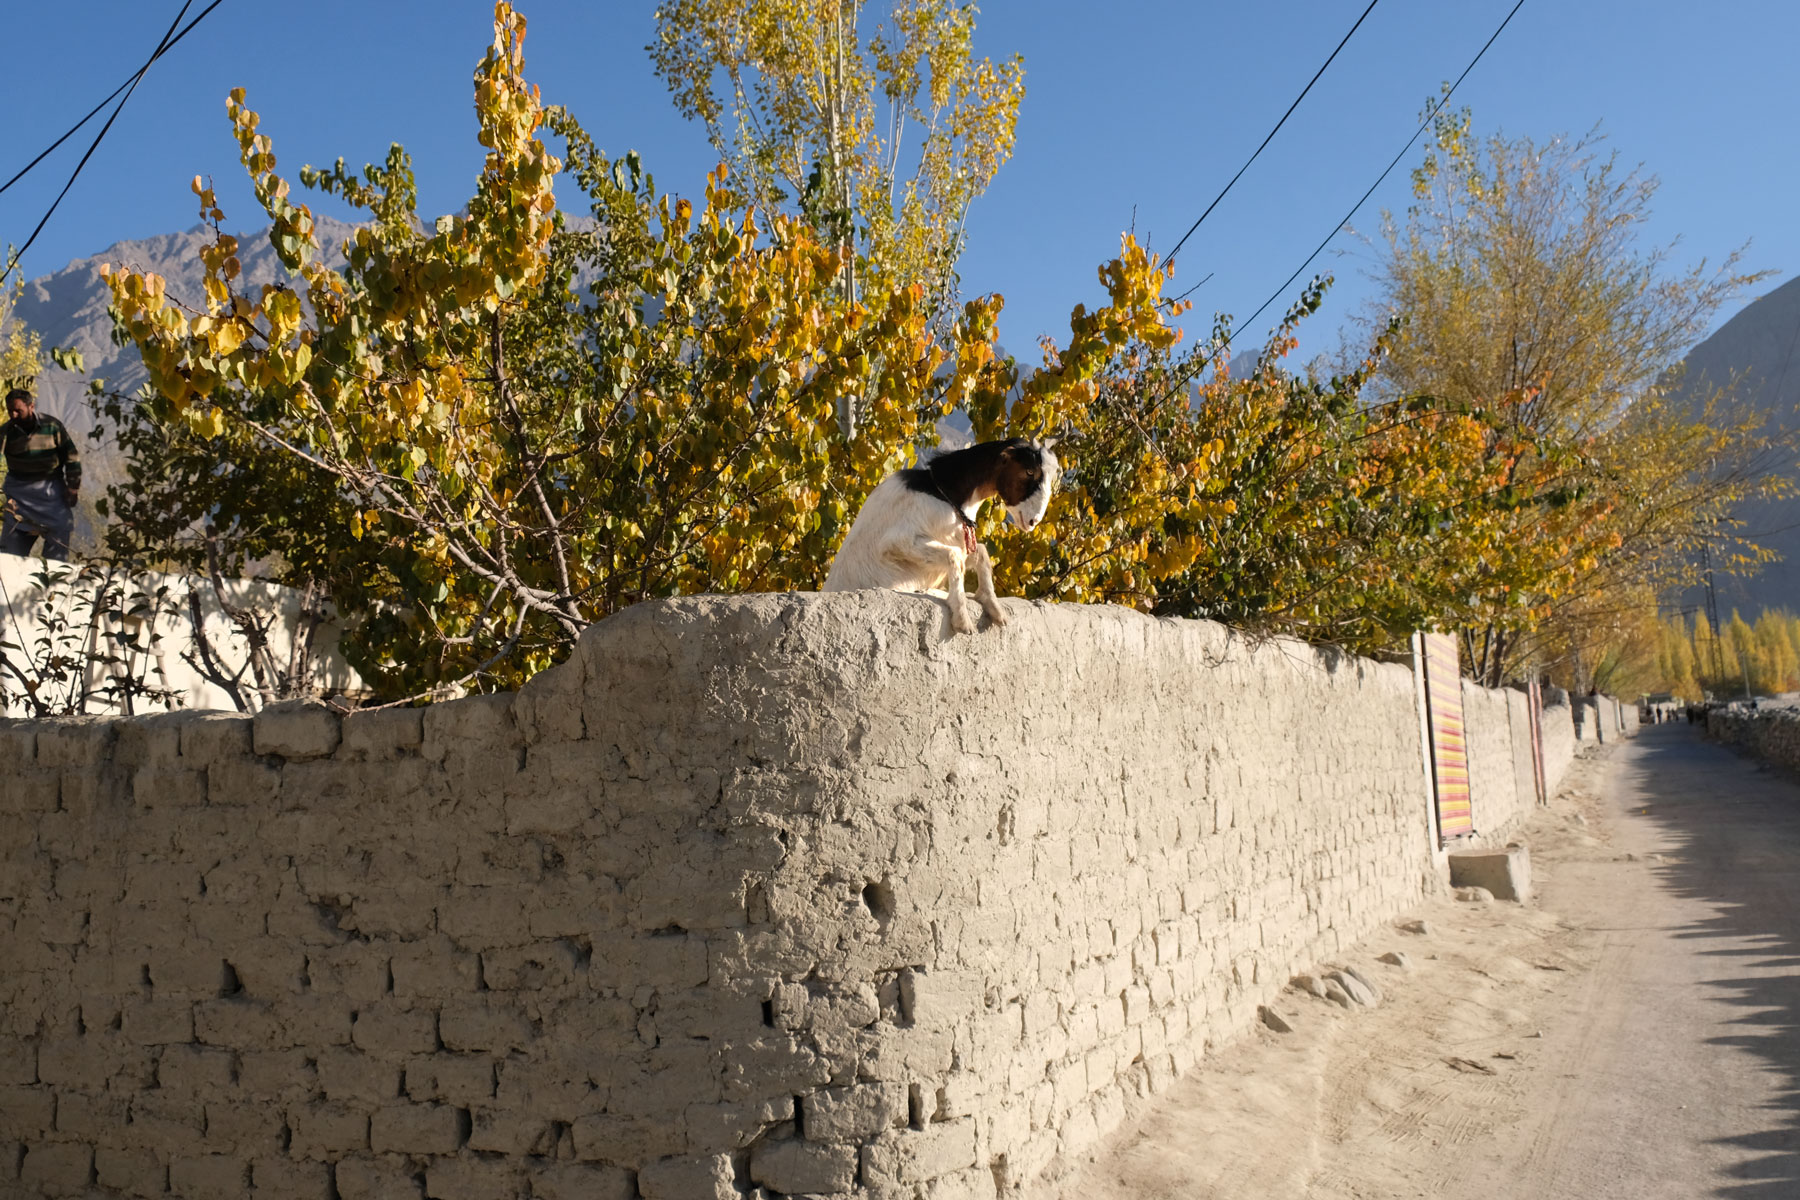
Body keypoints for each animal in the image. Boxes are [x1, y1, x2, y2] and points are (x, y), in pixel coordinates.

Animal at [824, 437, 1058, 633]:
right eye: (1029, 471)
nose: (1033, 521)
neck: (942, 492)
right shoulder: (898, 543)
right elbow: (954, 557)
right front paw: (962, 620)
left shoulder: (960, 540)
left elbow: (980, 553)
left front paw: (994, 608)